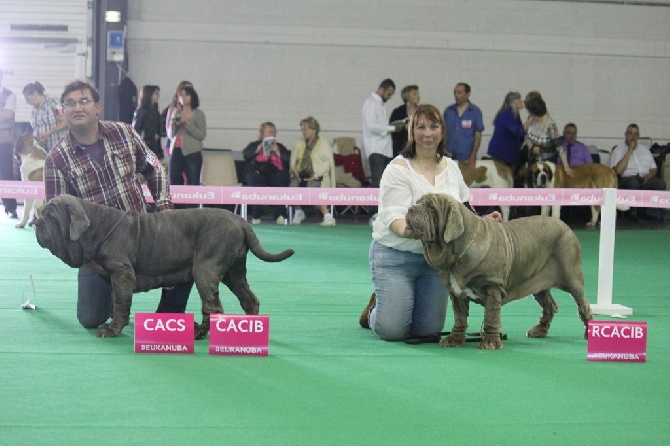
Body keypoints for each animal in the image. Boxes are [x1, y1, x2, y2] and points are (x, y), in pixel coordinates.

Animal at [34, 194, 294, 338]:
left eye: (51, 216)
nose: (37, 222)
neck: (97, 227)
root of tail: (240, 221)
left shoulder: (121, 274)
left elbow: (120, 303)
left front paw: (112, 329)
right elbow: (118, 302)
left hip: (206, 269)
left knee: (213, 307)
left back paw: (199, 333)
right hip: (234, 272)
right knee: (249, 298)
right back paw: (250, 327)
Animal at [404, 193, 592, 350]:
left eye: (431, 208)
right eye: (418, 202)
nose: (410, 208)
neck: (457, 251)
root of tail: (565, 225)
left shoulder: (492, 287)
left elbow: (491, 317)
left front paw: (490, 342)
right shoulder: (456, 294)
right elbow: (459, 318)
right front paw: (454, 339)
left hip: (572, 277)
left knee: (583, 305)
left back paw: (588, 333)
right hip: (538, 284)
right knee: (549, 305)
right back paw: (539, 330)